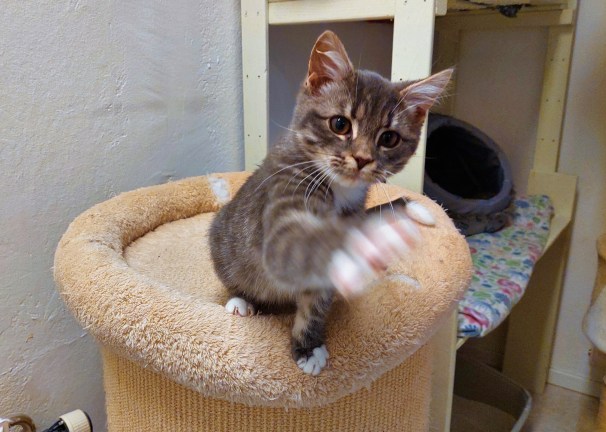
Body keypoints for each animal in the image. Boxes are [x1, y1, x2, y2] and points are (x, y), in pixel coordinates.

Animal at [209, 30, 452, 376]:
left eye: (389, 138)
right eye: (340, 124)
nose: (362, 159)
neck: (338, 189)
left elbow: (317, 299)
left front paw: (308, 344)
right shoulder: (281, 197)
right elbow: (298, 245)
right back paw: (241, 301)